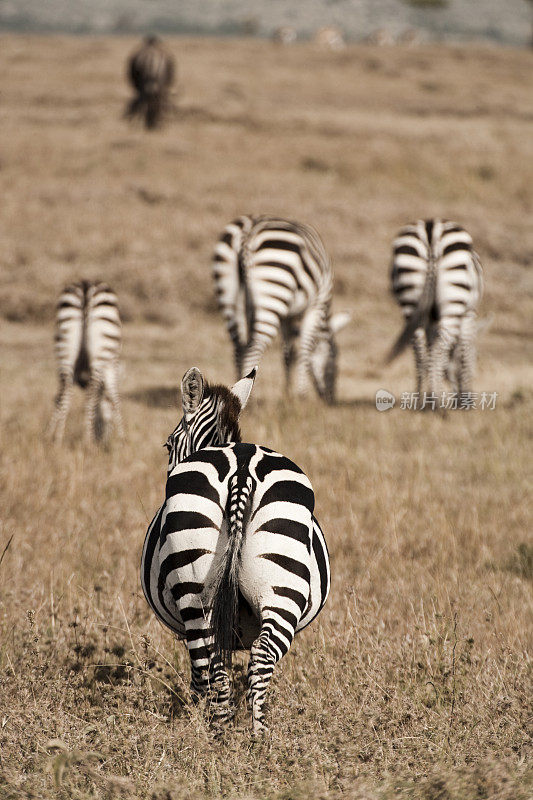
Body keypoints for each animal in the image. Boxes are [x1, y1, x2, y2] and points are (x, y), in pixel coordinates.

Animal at [47, 280, 122, 444]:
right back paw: (87, 441)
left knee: (65, 392)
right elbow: (114, 398)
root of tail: (86, 288)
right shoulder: (111, 367)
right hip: (102, 350)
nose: (103, 439)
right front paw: (122, 439)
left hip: (65, 346)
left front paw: (49, 433)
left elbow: (57, 398)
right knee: (90, 395)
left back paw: (56, 439)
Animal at [139, 368, 328, 732]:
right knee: (261, 657)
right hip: (282, 589)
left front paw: (195, 712)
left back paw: (218, 731)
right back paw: (258, 735)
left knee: (211, 666)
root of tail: (242, 470)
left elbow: (199, 676)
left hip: (196, 595)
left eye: (168, 444)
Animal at [212, 212, 350, 404]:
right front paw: (301, 397)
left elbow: (288, 354)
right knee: (252, 349)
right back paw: (250, 402)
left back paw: (237, 398)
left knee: (238, 348)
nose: (331, 400)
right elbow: (305, 350)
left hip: (229, 293)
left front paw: (287, 395)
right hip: (273, 291)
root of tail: (248, 232)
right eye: (335, 358)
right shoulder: (316, 306)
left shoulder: (287, 317)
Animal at [386, 220, 482, 398]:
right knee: (438, 351)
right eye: (477, 357)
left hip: (410, 299)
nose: (458, 396)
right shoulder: (468, 314)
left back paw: (421, 400)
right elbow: (465, 353)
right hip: (453, 300)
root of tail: (430, 231)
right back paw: (436, 402)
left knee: (420, 351)